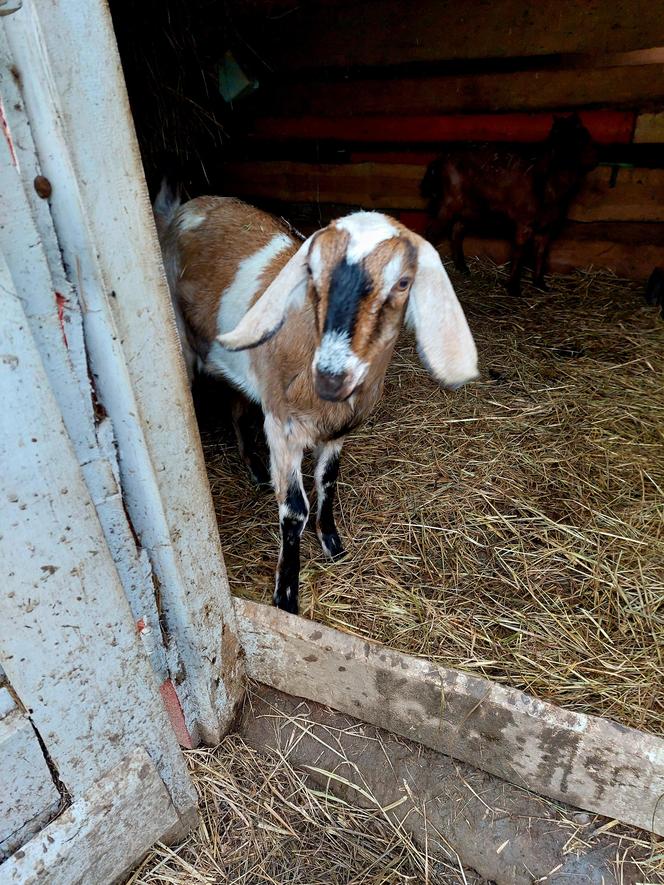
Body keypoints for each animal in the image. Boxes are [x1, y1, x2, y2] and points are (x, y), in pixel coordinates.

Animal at [154, 186, 478, 616]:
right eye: (312, 272)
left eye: (404, 282)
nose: (331, 375)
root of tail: (190, 205)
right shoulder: (281, 427)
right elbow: (294, 510)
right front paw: (287, 595)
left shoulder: (337, 430)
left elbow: (328, 481)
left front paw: (332, 543)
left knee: (237, 408)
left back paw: (256, 469)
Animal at [422, 112, 600, 294]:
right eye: (579, 139)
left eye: (585, 135)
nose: (595, 159)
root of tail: (440, 158)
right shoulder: (524, 221)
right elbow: (519, 252)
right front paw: (514, 287)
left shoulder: (546, 226)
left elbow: (540, 254)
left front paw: (540, 284)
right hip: (450, 200)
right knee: (431, 232)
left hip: (469, 206)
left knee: (456, 231)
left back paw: (463, 268)